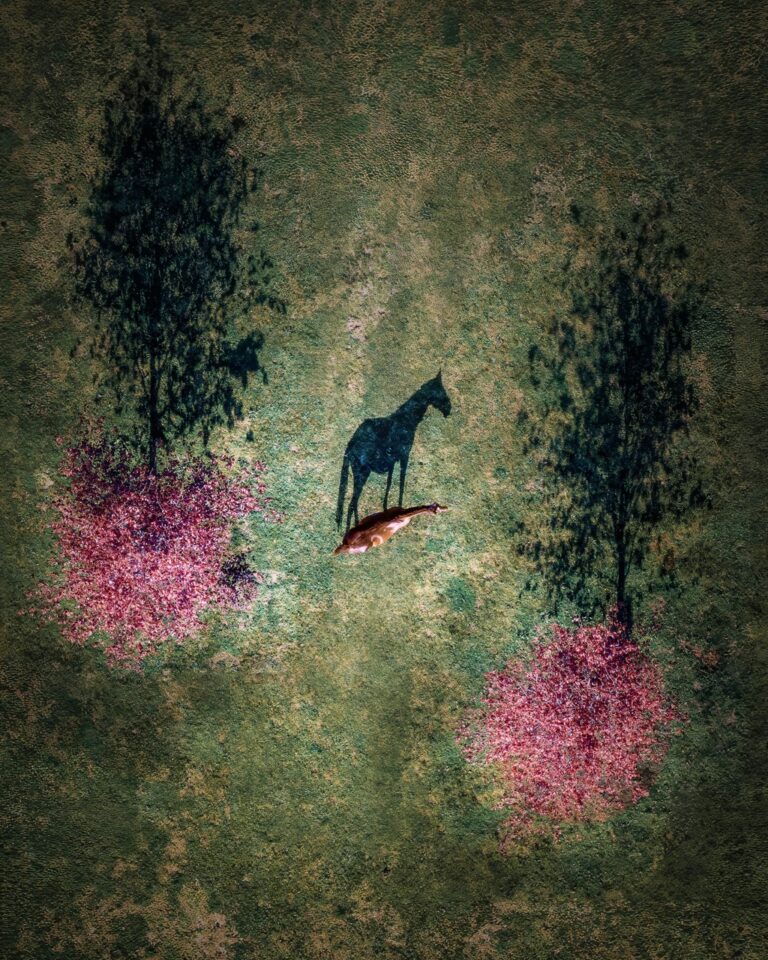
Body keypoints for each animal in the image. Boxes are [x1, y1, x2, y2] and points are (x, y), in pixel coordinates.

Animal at [336, 370, 450, 532]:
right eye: (441, 392)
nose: (448, 410)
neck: (407, 419)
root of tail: (351, 444)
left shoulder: (392, 462)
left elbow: (389, 485)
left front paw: (388, 513)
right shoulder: (404, 456)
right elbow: (401, 483)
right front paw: (401, 513)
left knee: (353, 503)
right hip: (362, 472)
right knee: (352, 503)